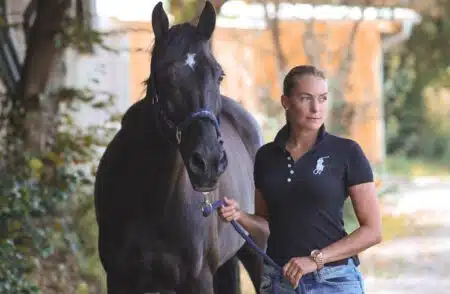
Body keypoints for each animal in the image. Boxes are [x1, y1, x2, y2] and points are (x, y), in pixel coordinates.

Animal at [94, 2, 264, 294]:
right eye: (165, 77)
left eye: (219, 75)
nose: (208, 162)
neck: (152, 201)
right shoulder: (119, 279)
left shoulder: (198, 280)